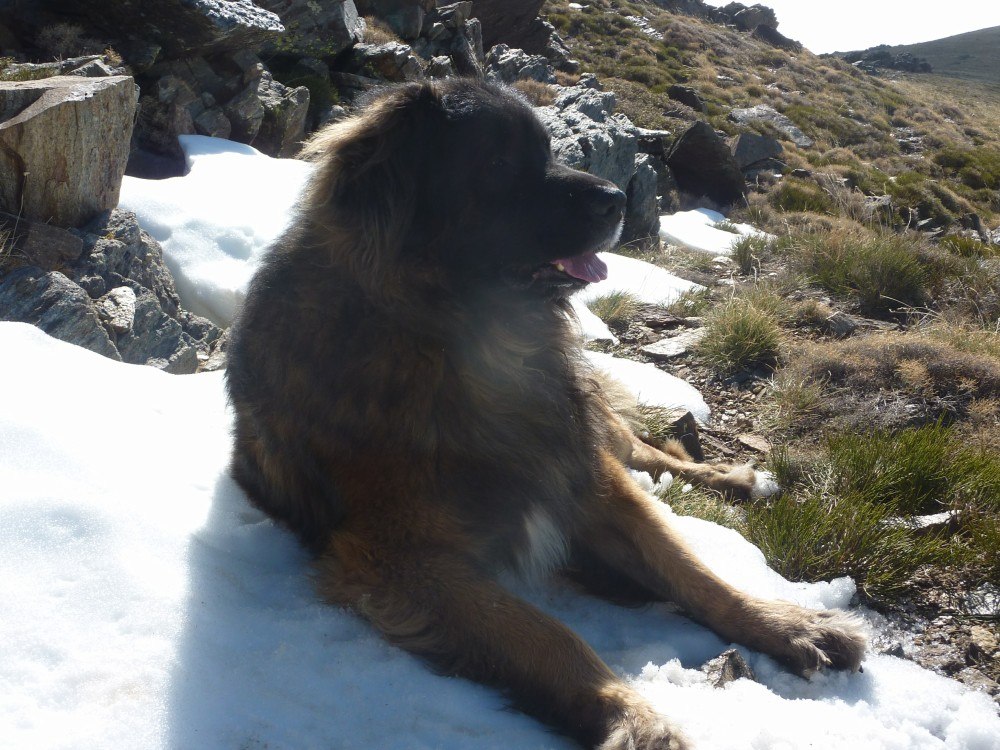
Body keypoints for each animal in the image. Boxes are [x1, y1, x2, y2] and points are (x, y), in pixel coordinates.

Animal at [227, 79, 868, 748]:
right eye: (497, 163)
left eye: (550, 150)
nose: (618, 198)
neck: (461, 340)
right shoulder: (397, 559)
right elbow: (548, 637)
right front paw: (633, 718)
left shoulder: (587, 477)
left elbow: (691, 568)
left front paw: (788, 624)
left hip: (590, 422)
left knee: (646, 451)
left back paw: (735, 479)